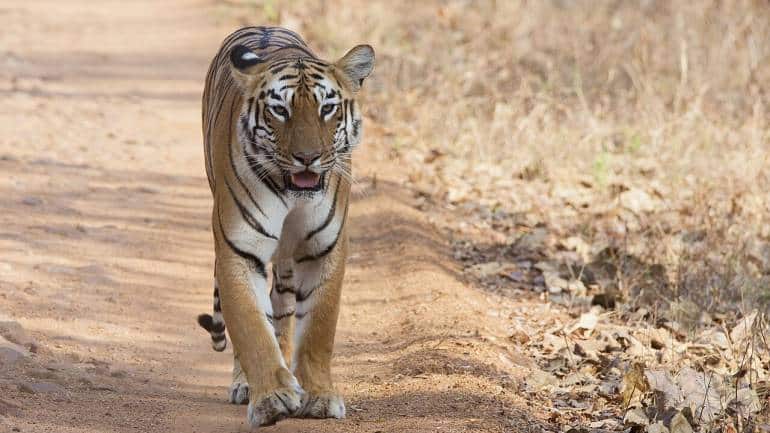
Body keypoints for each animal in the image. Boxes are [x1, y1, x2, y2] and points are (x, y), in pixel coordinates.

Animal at [195, 26, 374, 426]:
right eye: (280, 110)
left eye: (327, 108)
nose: (307, 158)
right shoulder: (239, 249)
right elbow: (251, 327)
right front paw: (271, 399)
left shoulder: (324, 249)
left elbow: (318, 329)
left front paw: (319, 396)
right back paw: (246, 384)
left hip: (289, 263)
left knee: (284, 310)